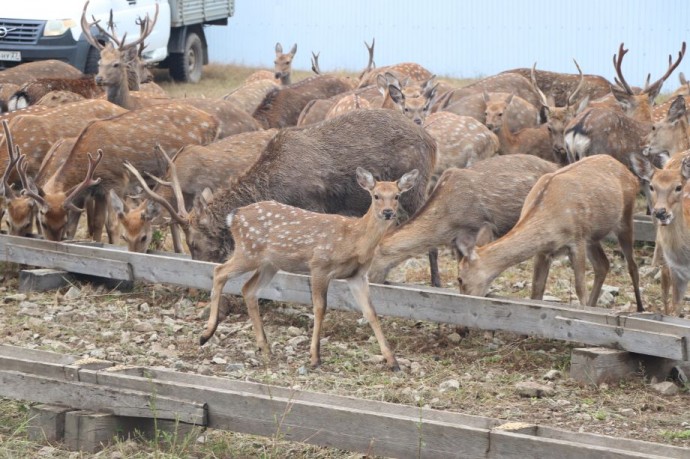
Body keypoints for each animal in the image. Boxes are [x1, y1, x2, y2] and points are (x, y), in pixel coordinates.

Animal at [454, 155, 644, 312]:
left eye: (460, 279)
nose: (464, 299)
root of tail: (630, 173)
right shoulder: (543, 252)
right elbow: (536, 290)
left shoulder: (577, 239)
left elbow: (579, 287)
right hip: (593, 236)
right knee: (603, 265)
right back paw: (594, 304)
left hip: (625, 218)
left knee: (632, 265)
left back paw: (640, 308)